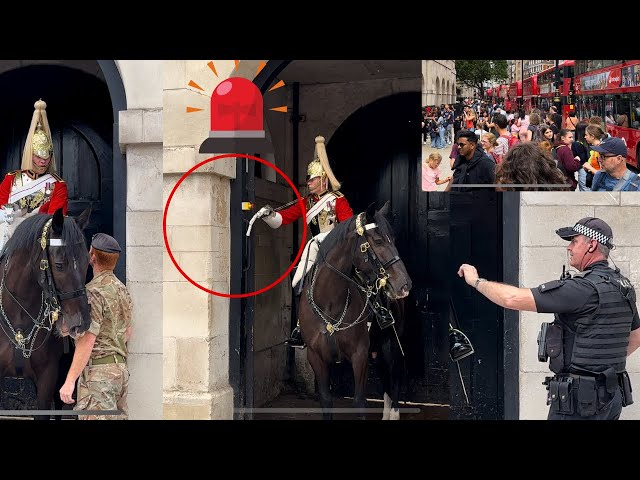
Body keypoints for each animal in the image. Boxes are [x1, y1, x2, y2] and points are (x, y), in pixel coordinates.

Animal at [298, 201, 412, 418]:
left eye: (393, 240)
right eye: (378, 241)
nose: (405, 285)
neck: (330, 303)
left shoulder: (359, 355)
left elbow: (359, 402)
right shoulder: (316, 357)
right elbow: (326, 401)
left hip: (392, 343)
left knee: (395, 378)